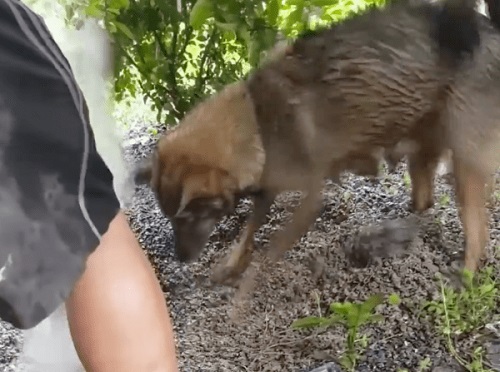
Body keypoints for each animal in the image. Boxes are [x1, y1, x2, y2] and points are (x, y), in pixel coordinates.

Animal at [135, 0, 498, 286]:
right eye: (171, 219)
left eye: (187, 218)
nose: (180, 259)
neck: (255, 119)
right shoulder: (267, 187)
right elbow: (248, 232)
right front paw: (233, 265)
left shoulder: (309, 197)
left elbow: (266, 246)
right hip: (423, 151)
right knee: (425, 200)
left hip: (464, 164)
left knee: (478, 233)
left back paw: (464, 275)